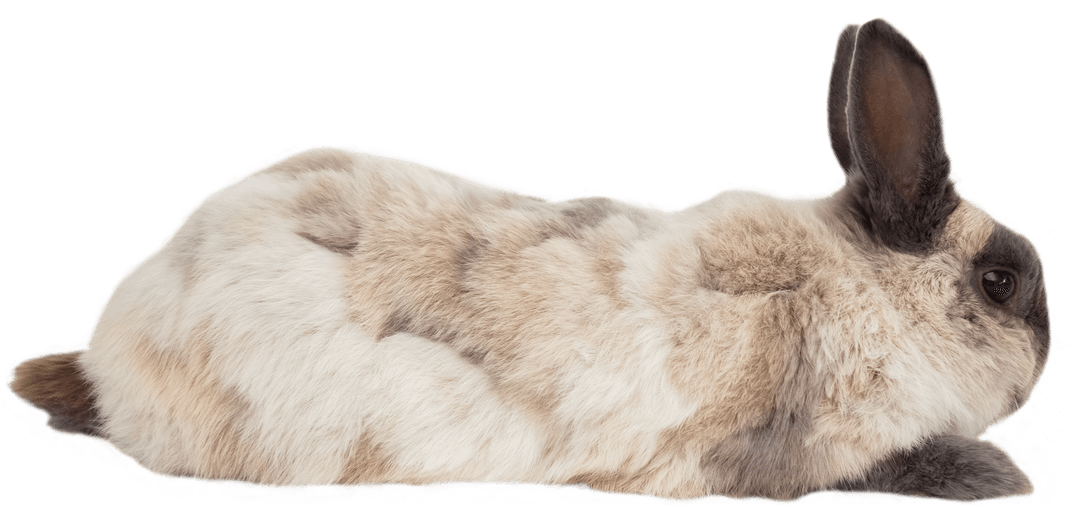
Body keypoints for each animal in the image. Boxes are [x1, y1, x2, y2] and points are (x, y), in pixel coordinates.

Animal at [5, 16, 1052, 503]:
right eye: (1001, 282)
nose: (1048, 351)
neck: (863, 289)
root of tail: (111, 355)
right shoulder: (784, 445)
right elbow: (902, 458)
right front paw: (1004, 472)